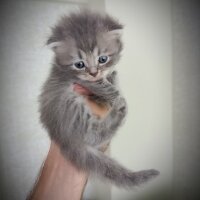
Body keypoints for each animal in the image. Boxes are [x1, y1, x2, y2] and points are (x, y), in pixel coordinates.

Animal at [39, 9, 159, 188]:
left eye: (103, 59)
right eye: (79, 64)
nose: (94, 73)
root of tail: (61, 137)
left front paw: (112, 77)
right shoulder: (81, 80)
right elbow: (104, 87)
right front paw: (115, 94)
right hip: (70, 106)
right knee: (92, 136)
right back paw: (119, 111)